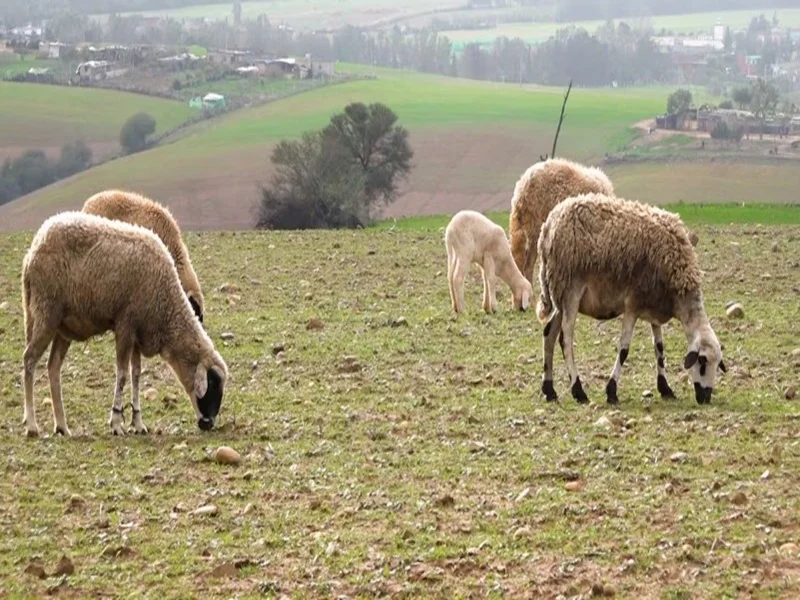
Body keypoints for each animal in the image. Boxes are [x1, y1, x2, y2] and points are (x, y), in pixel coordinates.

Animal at [21, 211, 228, 436]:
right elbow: (121, 375)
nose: (209, 423)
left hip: (61, 326)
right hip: (45, 313)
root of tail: (34, 247)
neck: (166, 309)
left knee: (53, 367)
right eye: (212, 383)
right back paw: (32, 425)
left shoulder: (138, 333)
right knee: (29, 359)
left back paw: (62, 426)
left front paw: (137, 422)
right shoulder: (125, 326)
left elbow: (136, 375)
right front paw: (116, 422)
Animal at [536, 195, 728, 406]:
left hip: (560, 294)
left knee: (549, 334)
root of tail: (547, 226)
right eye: (702, 362)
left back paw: (549, 390)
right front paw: (611, 391)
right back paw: (578, 391)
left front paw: (665, 388)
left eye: (717, 365)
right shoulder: (632, 304)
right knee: (565, 339)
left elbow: (659, 347)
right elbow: (624, 349)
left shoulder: (654, 304)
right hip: (571, 289)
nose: (705, 397)